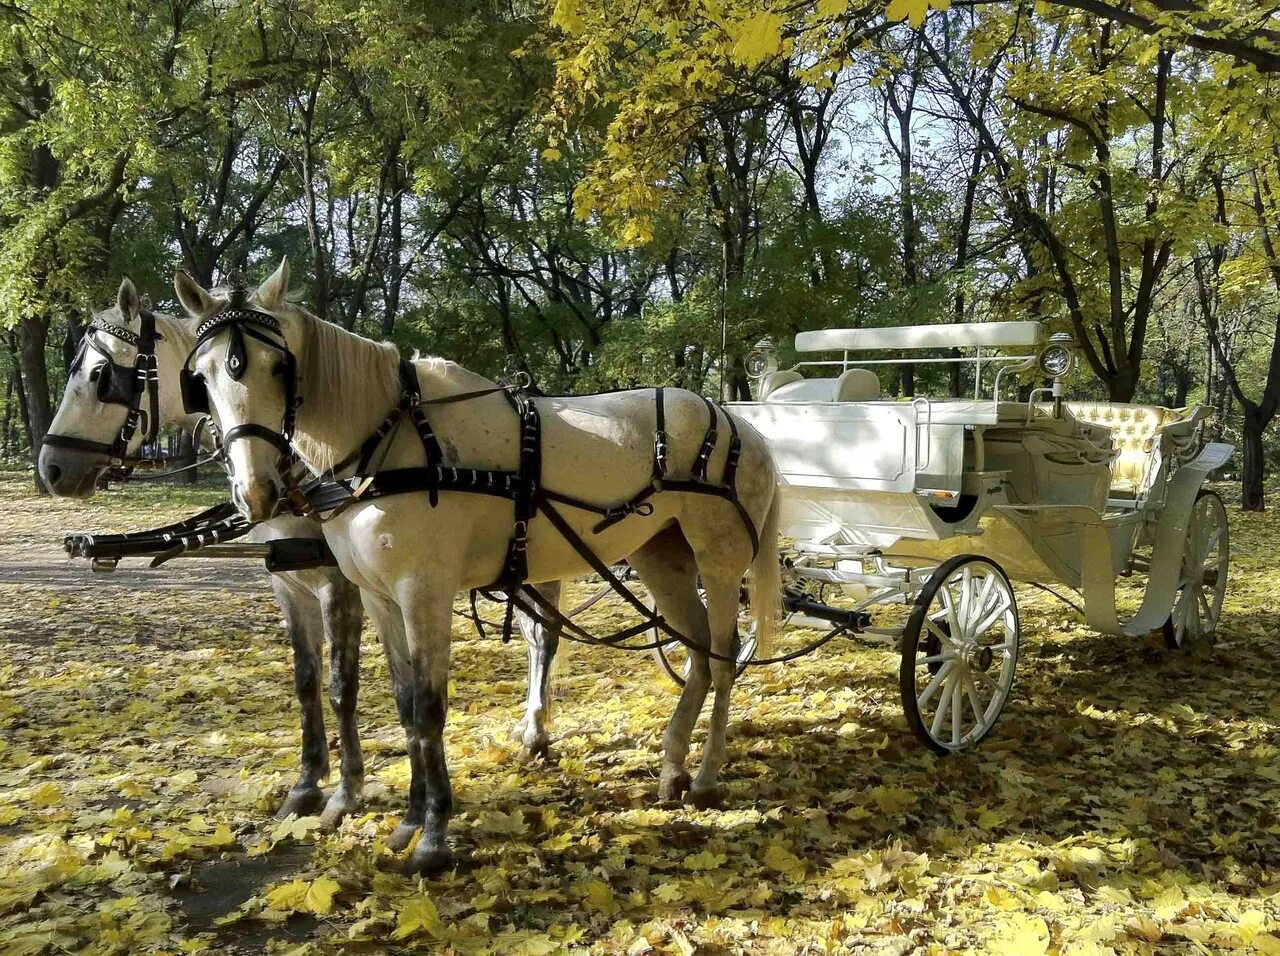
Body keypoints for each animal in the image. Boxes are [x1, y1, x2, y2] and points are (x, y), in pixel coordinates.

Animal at [36, 276, 560, 829]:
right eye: (200, 380)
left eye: (101, 376)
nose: (51, 468)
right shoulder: (288, 582)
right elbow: (307, 681)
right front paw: (308, 782)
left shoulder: (340, 586)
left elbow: (342, 687)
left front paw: (347, 790)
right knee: (536, 637)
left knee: (543, 639)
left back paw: (534, 730)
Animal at [176, 262, 783, 875]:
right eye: (201, 377)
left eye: (279, 367)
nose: (256, 492)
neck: (389, 441)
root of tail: (739, 423)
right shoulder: (377, 597)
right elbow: (403, 704)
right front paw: (409, 820)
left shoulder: (423, 592)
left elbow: (427, 708)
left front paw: (433, 834)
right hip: (660, 557)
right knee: (697, 655)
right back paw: (673, 766)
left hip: (719, 562)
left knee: (723, 658)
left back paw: (705, 775)